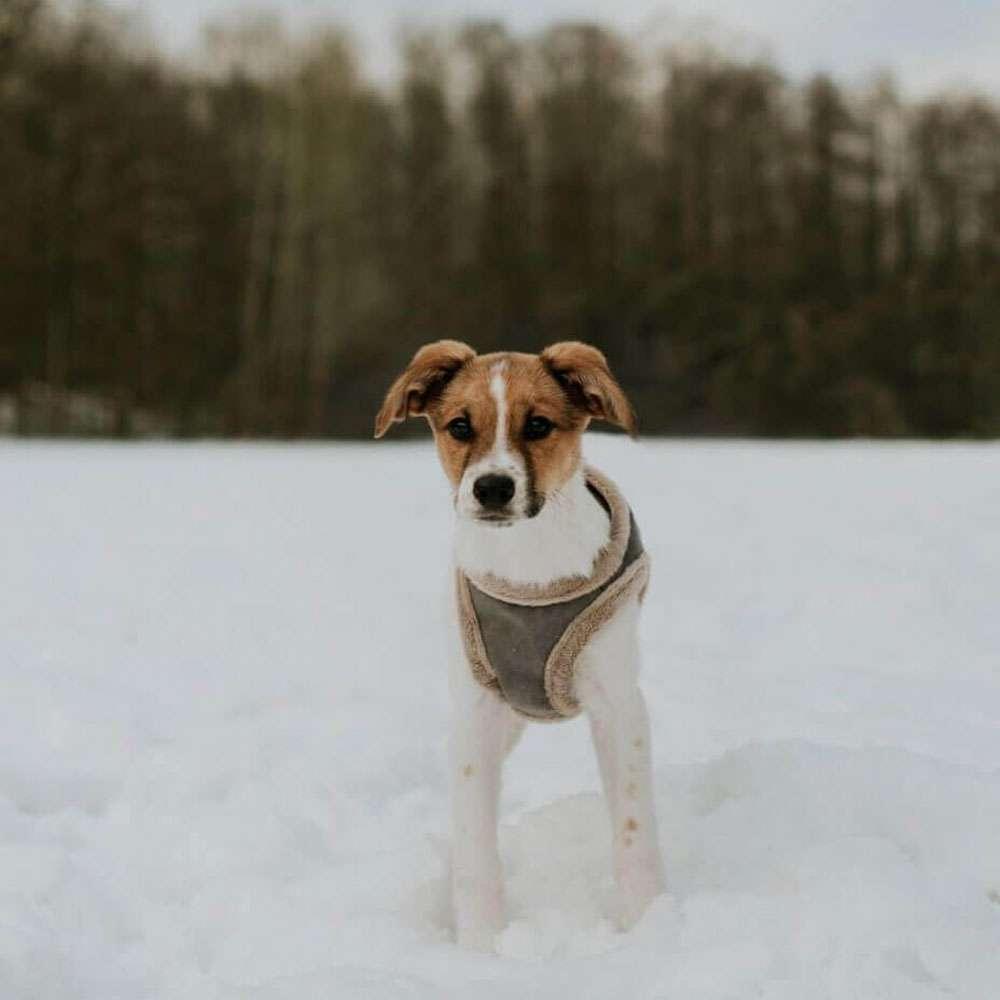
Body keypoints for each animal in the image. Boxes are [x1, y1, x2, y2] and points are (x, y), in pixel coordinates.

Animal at [376, 340, 664, 948]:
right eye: (460, 427)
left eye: (538, 425)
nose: (492, 487)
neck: (528, 562)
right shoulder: (477, 715)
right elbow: (475, 844)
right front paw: (482, 945)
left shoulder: (619, 707)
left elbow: (632, 830)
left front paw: (648, 925)